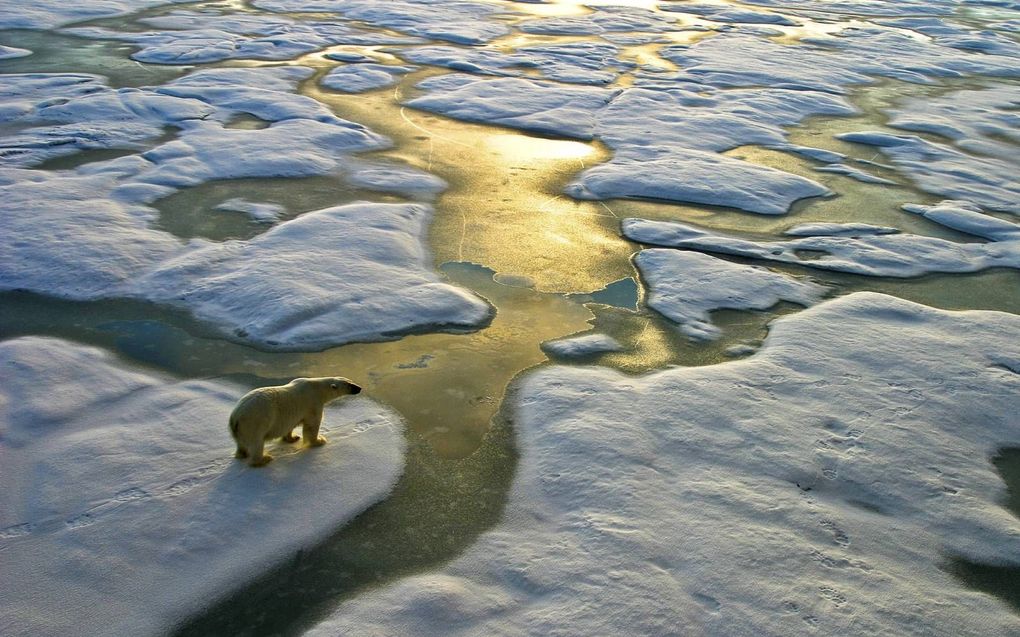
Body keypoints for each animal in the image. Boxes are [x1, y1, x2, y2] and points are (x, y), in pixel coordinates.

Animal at [231, 375, 363, 464]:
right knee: (257, 442)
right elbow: (312, 425)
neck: (317, 388)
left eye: (352, 381)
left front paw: (293, 438)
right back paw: (264, 459)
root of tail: (235, 417)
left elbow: (290, 425)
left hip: (240, 429)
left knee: (241, 443)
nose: (360, 388)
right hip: (255, 422)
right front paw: (319, 440)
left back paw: (242, 454)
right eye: (350, 385)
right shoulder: (312, 403)